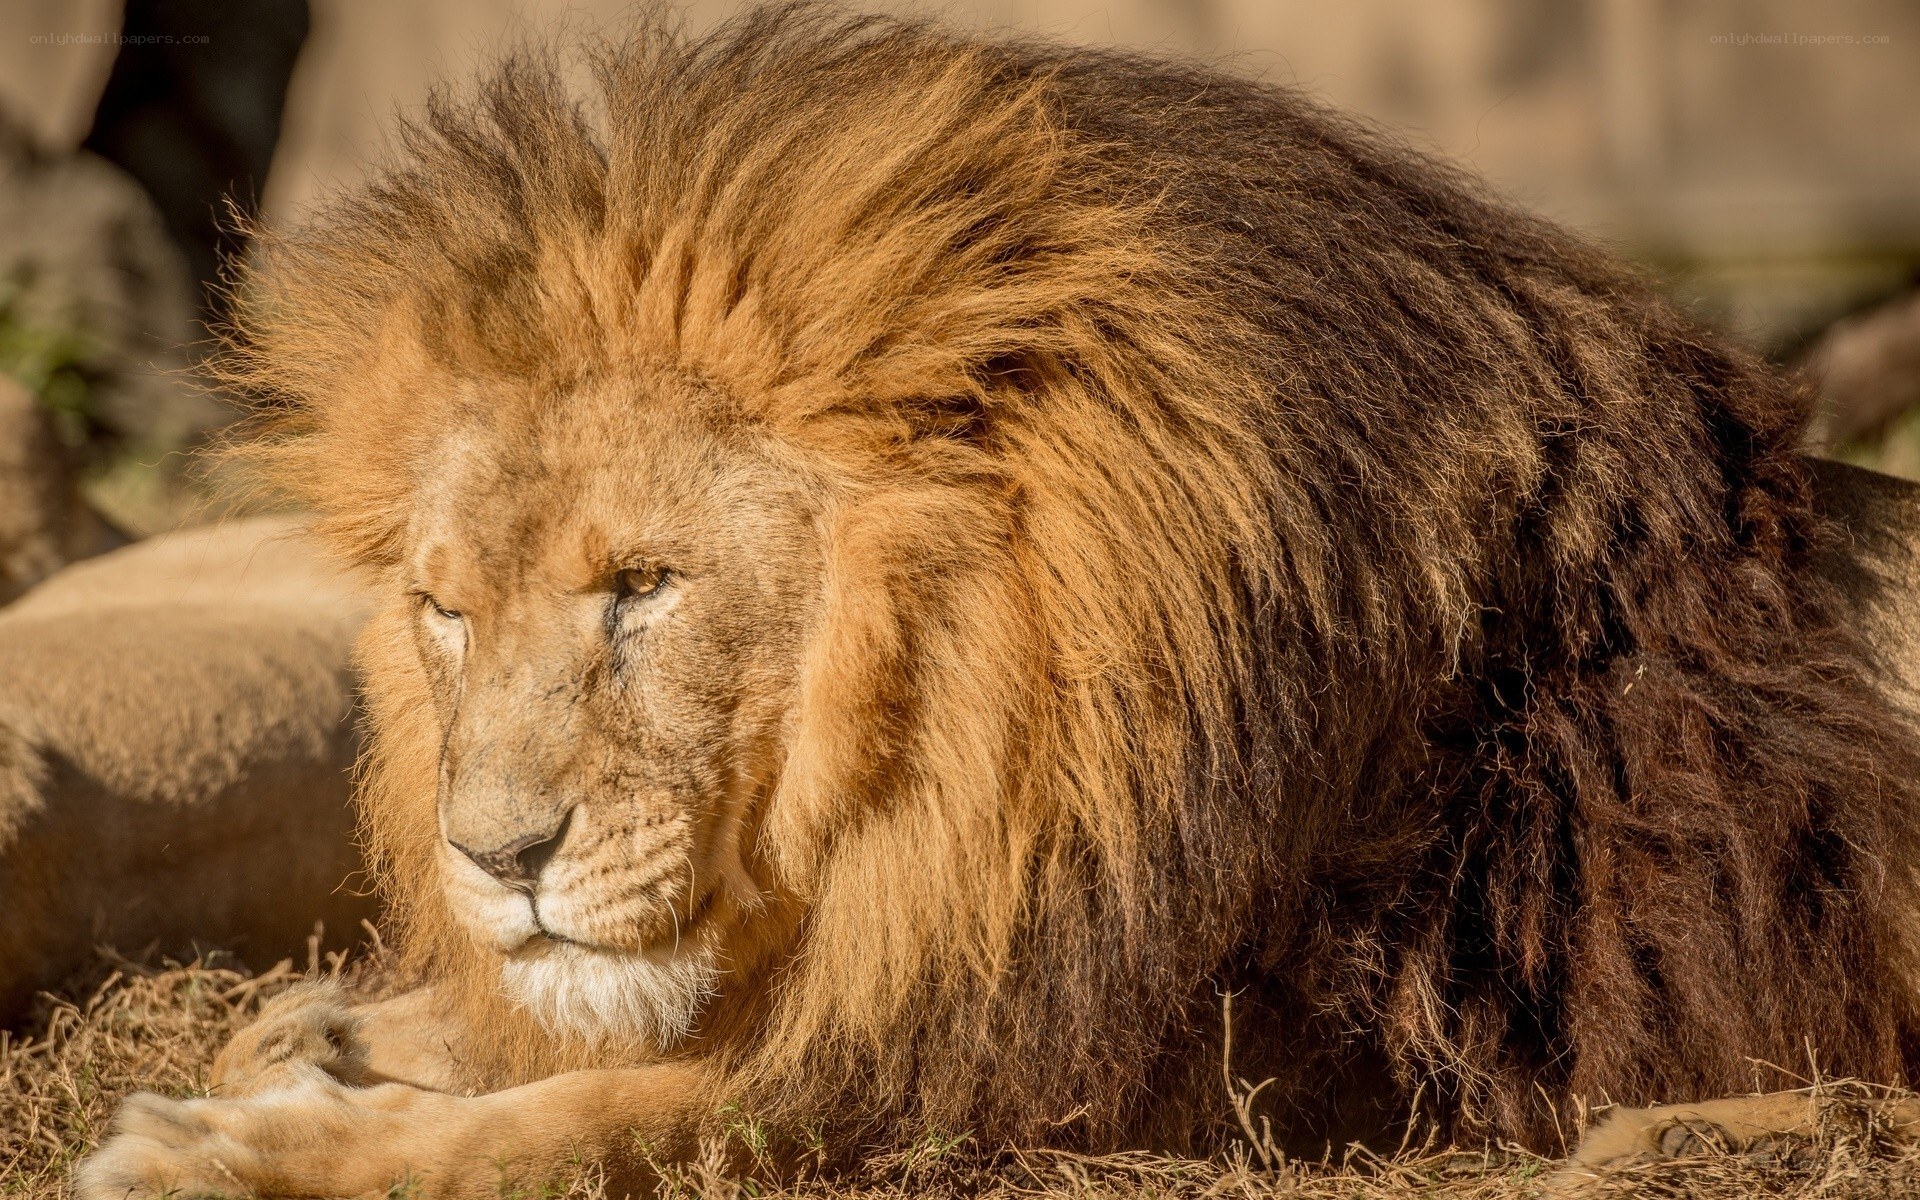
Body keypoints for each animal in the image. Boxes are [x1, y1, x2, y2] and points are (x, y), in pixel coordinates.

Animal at [75, 8, 1920, 1197]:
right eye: (447, 613)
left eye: (643, 587)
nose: (497, 860)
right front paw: (310, 1036)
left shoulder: (1140, 1058)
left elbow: (604, 1121)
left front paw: (228, 1151)